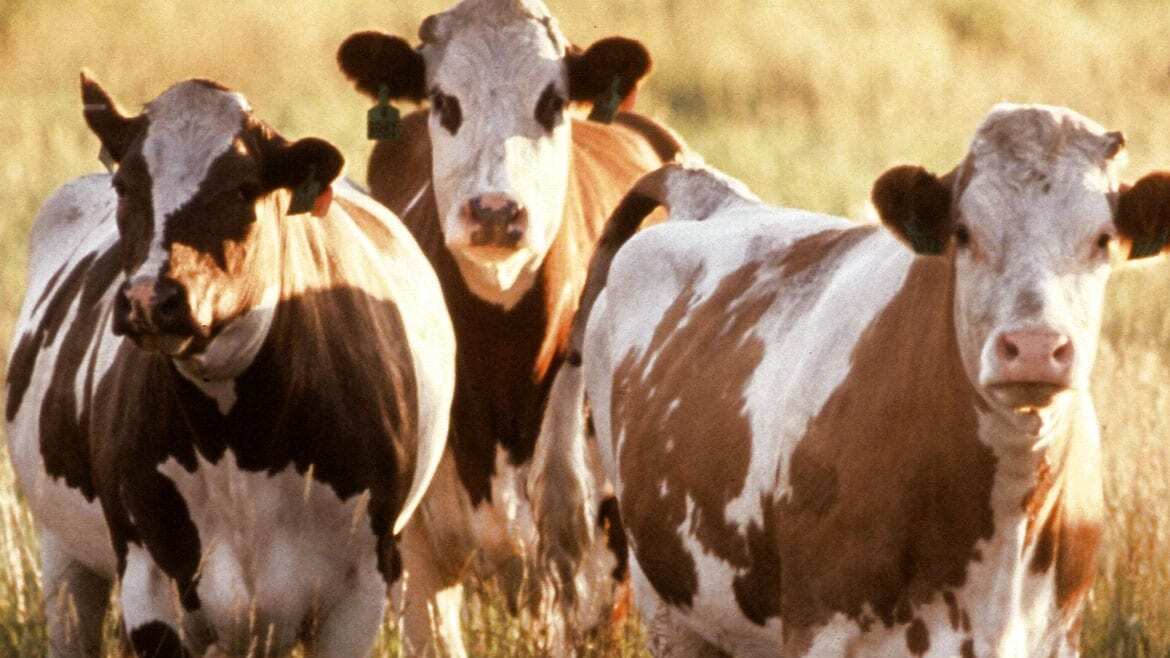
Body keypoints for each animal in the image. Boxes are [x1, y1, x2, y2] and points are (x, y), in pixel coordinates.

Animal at [4, 72, 455, 657]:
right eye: (125, 186)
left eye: (243, 188)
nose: (151, 298)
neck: (239, 440)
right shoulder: (149, 578)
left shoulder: (362, 587)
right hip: (63, 558)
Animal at [555, 103, 1170, 657]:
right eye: (964, 233)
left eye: (1103, 239)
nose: (1035, 348)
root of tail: (710, 197)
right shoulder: (819, 629)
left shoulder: (1056, 635)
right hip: (668, 607)